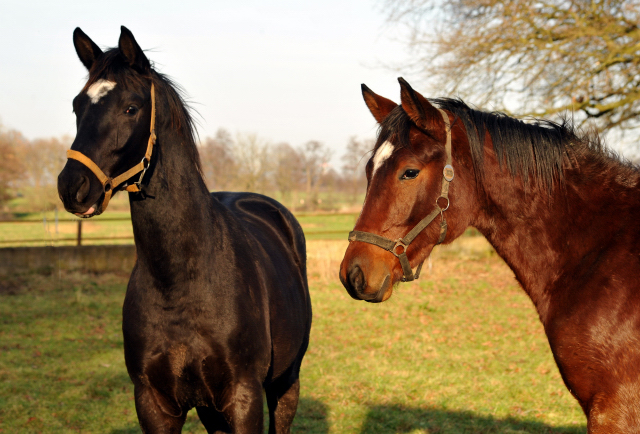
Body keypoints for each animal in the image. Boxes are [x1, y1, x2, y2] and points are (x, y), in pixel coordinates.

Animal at [57, 27, 312, 434]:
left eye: (131, 108)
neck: (179, 281)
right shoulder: (155, 403)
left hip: (287, 381)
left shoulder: (245, 398)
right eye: (78, 105)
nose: (72, 186)